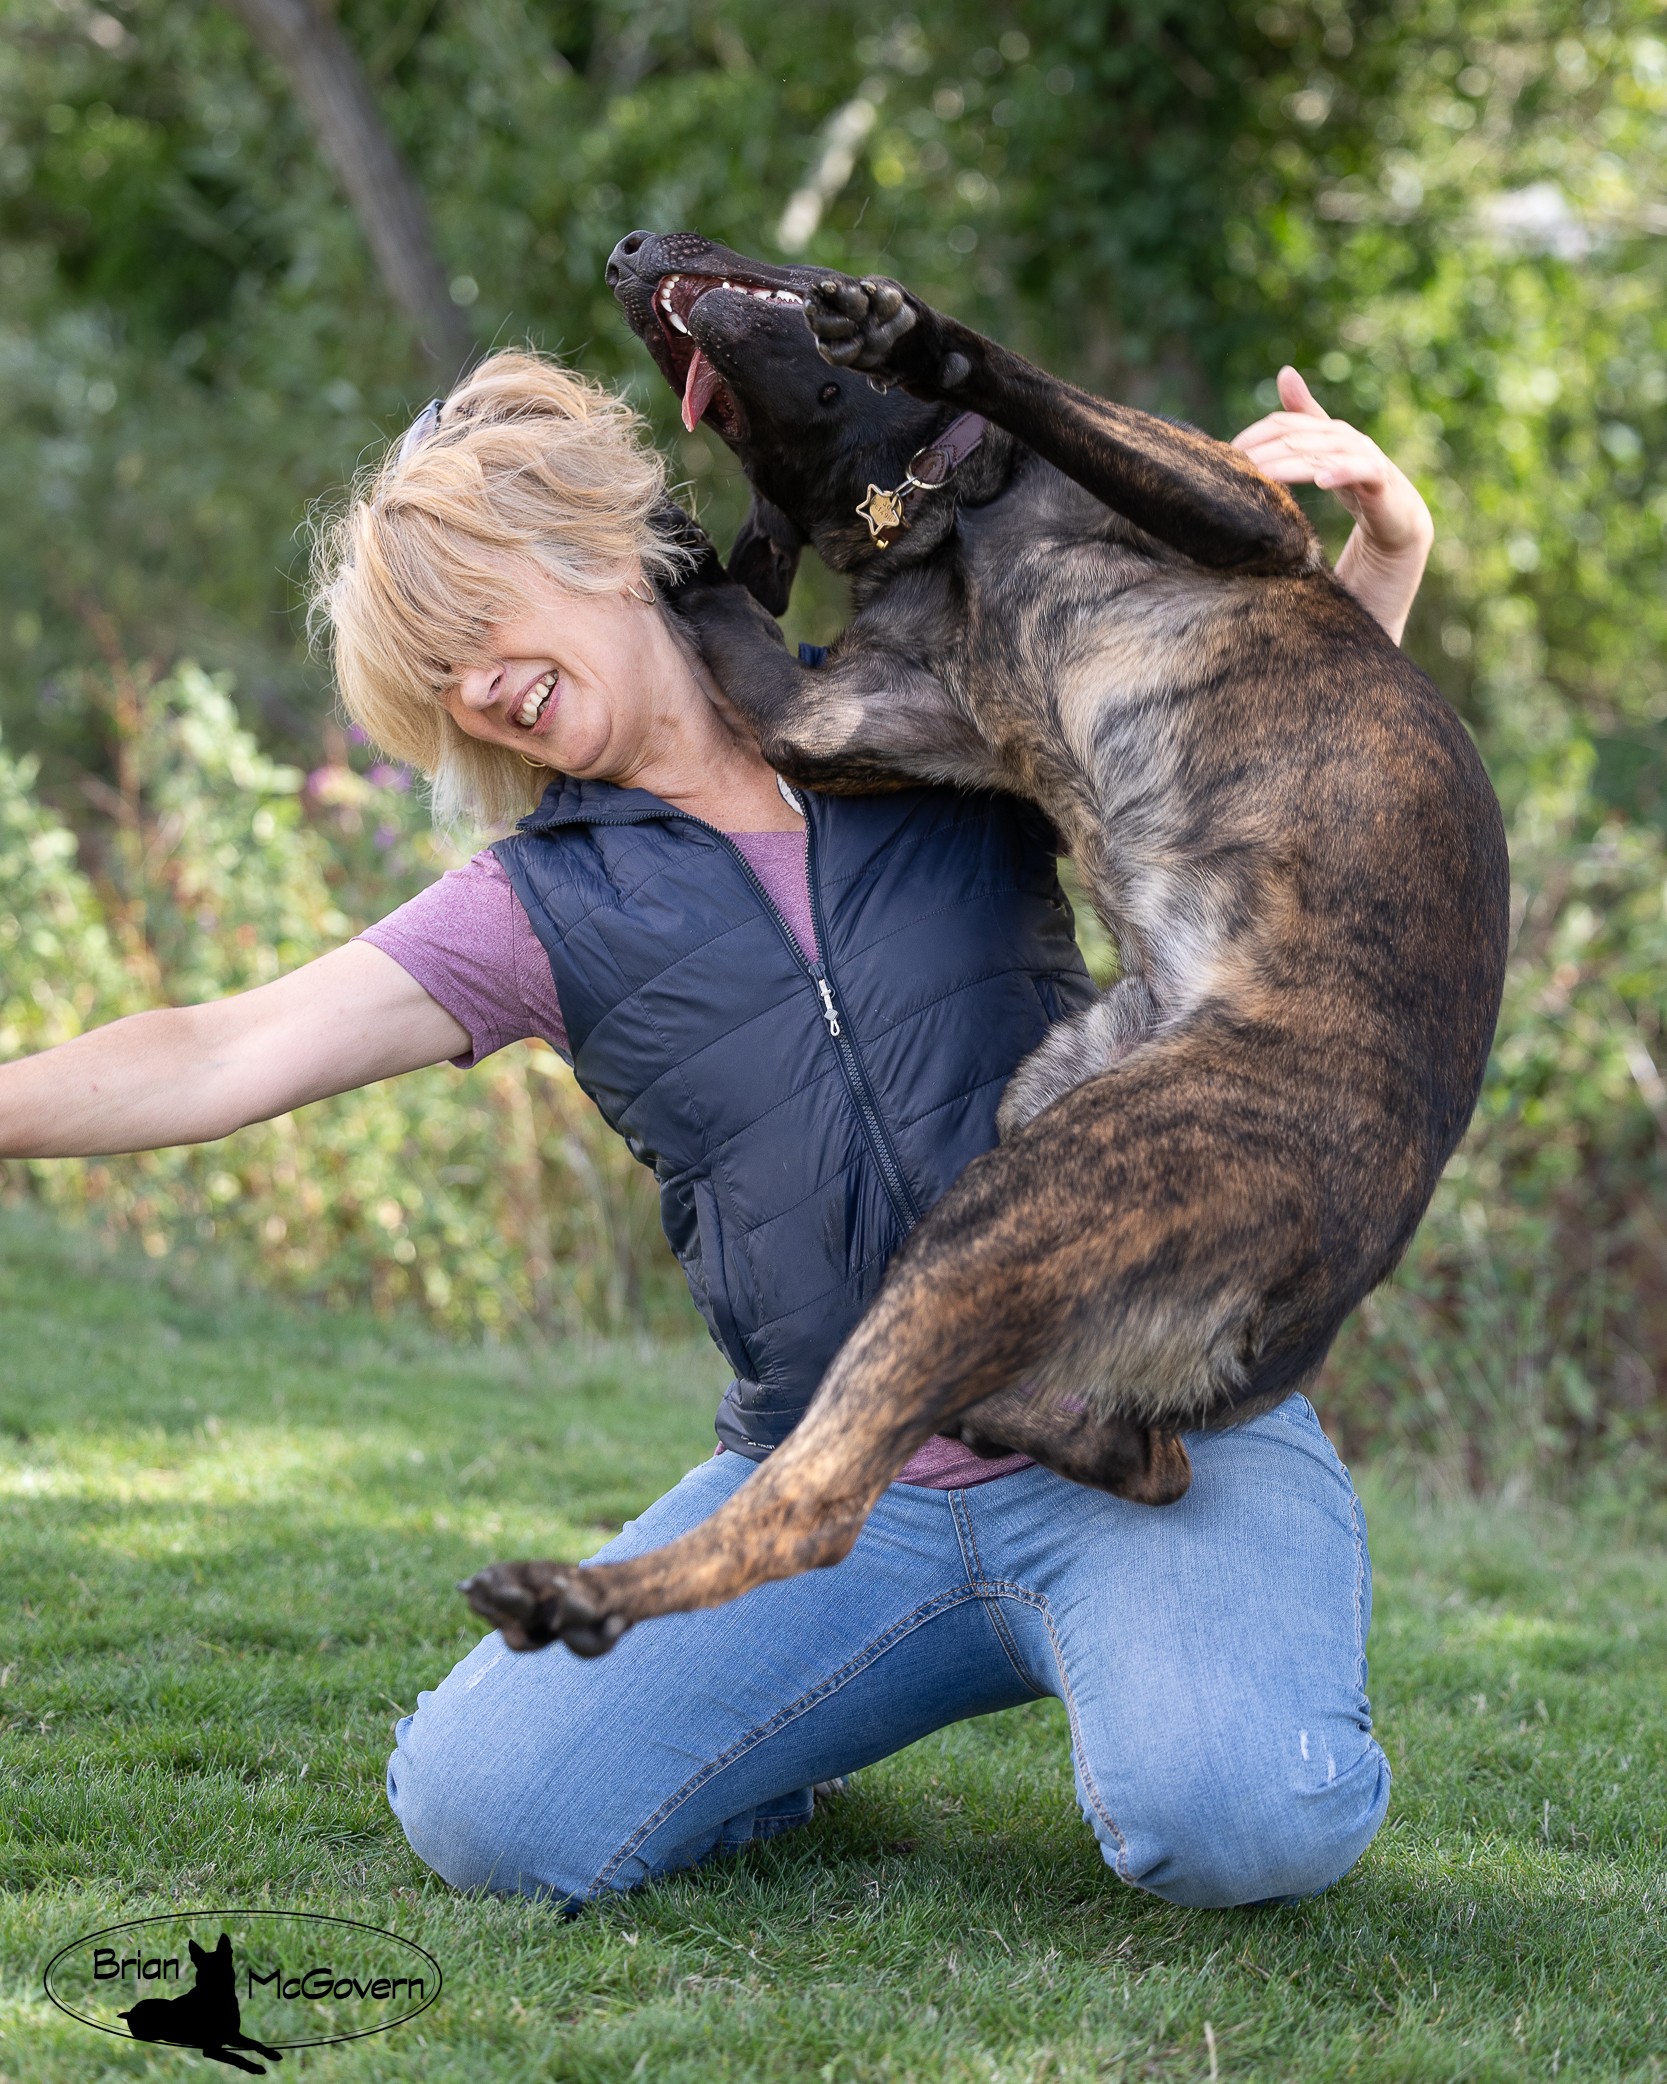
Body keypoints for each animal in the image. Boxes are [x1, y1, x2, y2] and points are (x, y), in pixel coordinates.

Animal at [458, 232, 1508, 1658]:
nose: (628, 246)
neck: (937, 511)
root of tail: (1318, 1297)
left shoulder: (1243, 513)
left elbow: (1017, 377)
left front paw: (909, 333)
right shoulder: (821, 717)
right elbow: (720, 596)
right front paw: (658, 520)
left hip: (1011, 1213)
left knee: (832, 1497)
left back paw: (584, 1590)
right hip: (1035, 1127)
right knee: (1114, 1459)